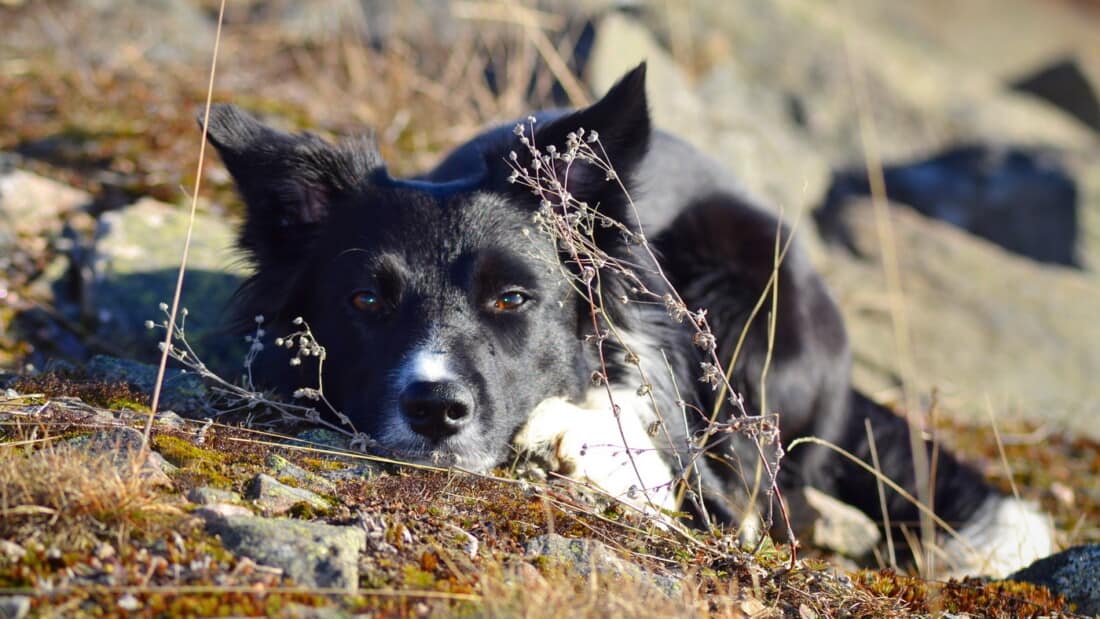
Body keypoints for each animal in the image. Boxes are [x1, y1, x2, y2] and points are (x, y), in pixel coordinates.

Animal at [202, 65, 1051, 580]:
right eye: (366, 303)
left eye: (512, 299)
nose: (437, 409)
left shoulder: (692, 454)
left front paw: (576, 443)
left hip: (739, 292)